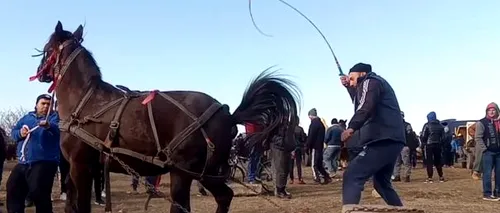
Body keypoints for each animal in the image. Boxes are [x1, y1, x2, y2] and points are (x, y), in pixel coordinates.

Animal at [34, 22, 300, 213]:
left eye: (46, 49)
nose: (40, 73)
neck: (85, 100)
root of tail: (227, 114)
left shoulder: (81, 165)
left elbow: (80, 207)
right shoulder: (75, 167)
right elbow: (71, 205)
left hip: (184, 172)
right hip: (205, 173)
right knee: (224, 196)